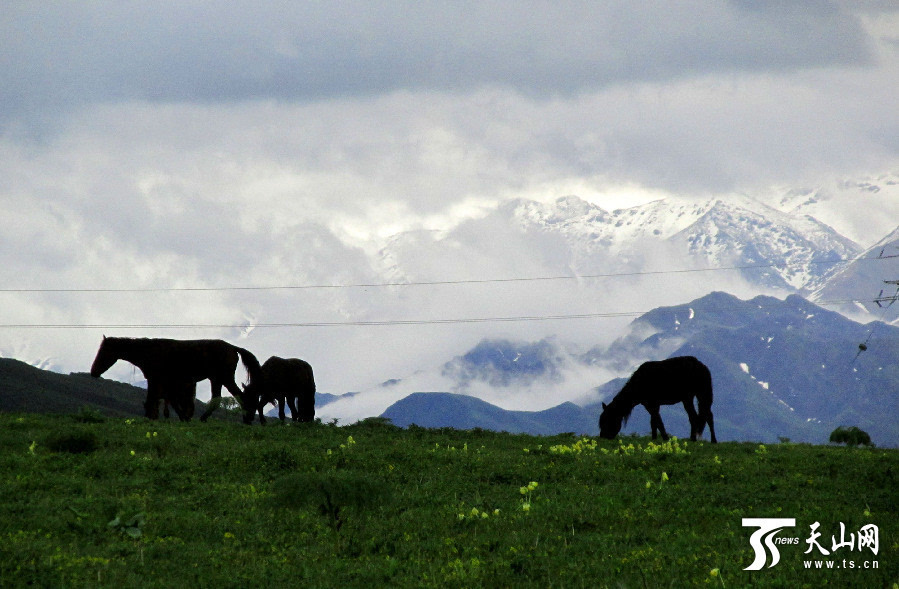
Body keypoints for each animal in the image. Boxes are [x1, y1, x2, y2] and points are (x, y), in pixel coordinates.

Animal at [89, 336, 262, 422]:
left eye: (103, 351)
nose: (93, 371)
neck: (148, 351)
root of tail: (233, 348)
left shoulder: (156, 380)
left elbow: (153, 400)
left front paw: (151, 417)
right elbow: (166, 400)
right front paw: (181, 417)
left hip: (224, 378)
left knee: (238, 396)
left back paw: (246, 419)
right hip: (217, 379)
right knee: (218, 399)